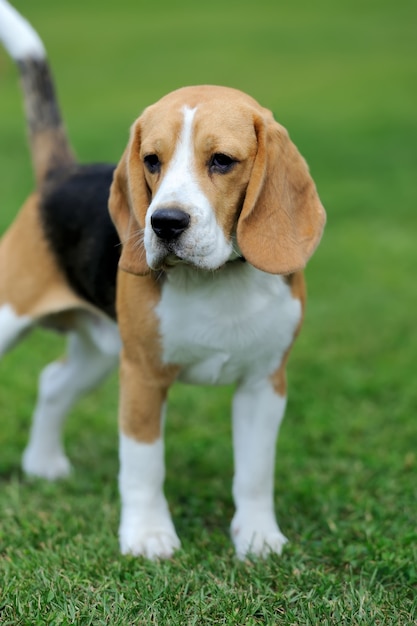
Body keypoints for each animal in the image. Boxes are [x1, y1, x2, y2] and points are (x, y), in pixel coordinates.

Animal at [0, 0, 324, 556]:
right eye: (151, 160)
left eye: (222, 161)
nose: (165, 223)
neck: (218, 282)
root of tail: (60, 174)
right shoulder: (143, 377)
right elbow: (143, 466)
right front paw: (149, 536)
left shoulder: (264, 383)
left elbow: (255, 471)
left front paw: (258, 537)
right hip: (17, 317)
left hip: (102, 347)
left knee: (53, 381)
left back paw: (42, 464)